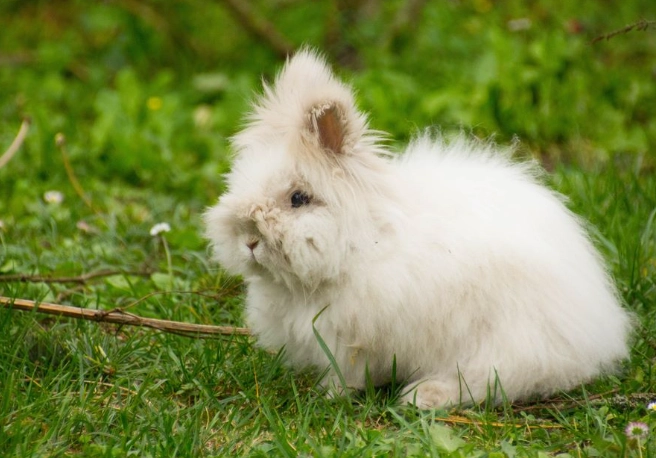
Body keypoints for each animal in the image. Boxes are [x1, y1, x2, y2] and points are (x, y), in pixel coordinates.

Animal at [204, 48, 632, 409]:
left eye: (298, 198)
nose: (249, 241)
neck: (363, 246)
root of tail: (600, 327)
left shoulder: (354, 338)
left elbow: (348, 371)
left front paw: (330, 394)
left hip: (507, 344)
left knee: (489, 381)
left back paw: (423, 396)